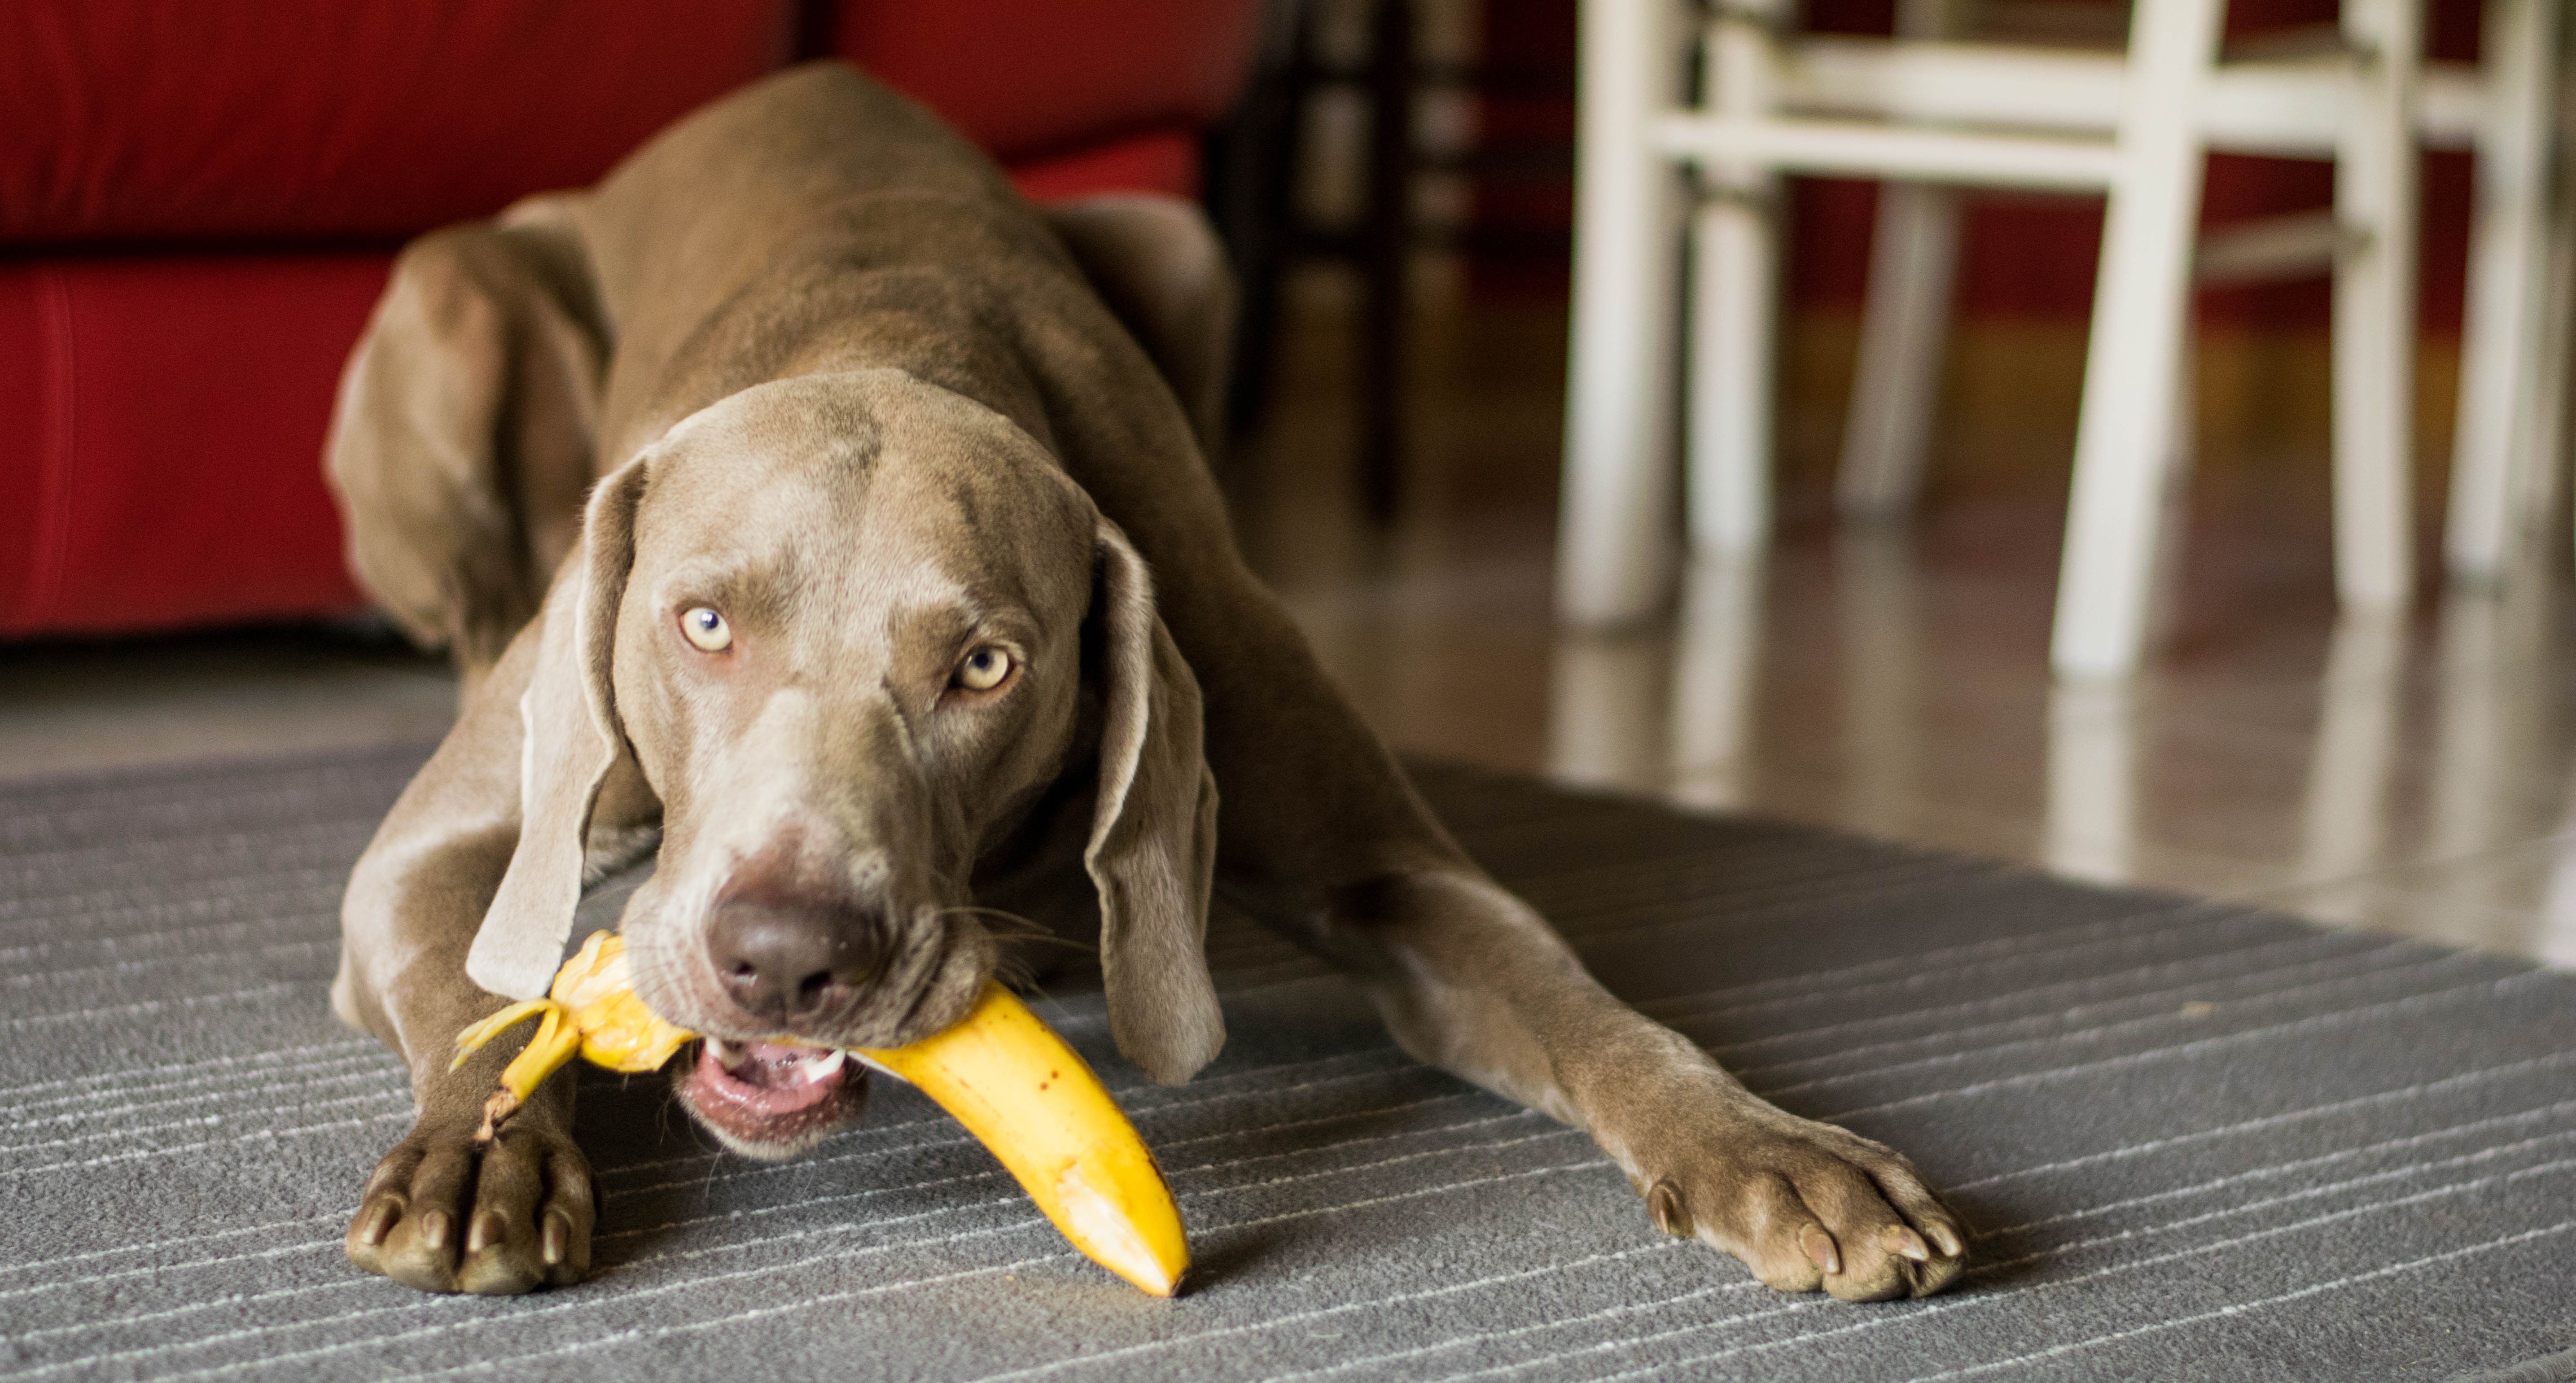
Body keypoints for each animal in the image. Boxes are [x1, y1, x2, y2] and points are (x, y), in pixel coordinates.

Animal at [327, 62, 1968, 1293]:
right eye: (705, 624)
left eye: (986, 666)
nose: (787, 958)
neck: (894, 340)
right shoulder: (434, 853)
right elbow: (479, 997)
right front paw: (481, 1154)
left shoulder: (1380, 854)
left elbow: (1579, 1001)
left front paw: (1766, 1148)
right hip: (453, 294)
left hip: (1184, 240)